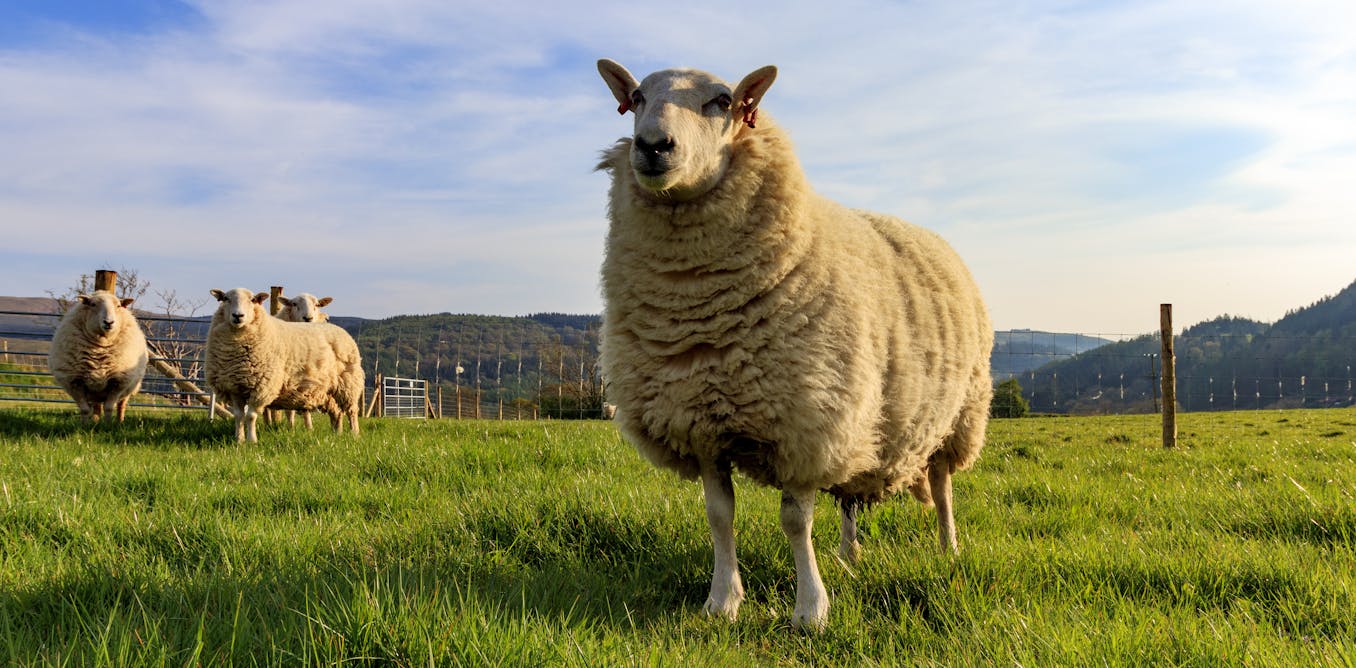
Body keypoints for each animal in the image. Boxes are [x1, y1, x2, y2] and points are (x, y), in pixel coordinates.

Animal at [46, 289, 148, 422]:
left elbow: (109, 408)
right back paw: (95, 420)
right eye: (93, 304)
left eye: (118, 306)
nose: (109, 322)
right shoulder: (75, 382)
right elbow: (84, 409)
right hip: (94, 390)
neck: (99, 349)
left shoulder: (118, 382)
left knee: (121, 405)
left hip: (130, 386)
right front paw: (84, 425)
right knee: (95, 406)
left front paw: (108, 425)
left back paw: (119, 422)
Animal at [203, 287, 363, 439]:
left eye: (253, 300)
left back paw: (354, 434)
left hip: (349, 383)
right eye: (225, 298)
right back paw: (338, 433)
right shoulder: (234, 387)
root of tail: (341, 330)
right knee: (336, 411)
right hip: (328, 389)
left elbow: (251, 416)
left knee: (352, 411)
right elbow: (239, 416)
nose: (238, 316)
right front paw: (239, 440)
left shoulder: (262, 387)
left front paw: (252, 440)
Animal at [599, 59, 992, 628]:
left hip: (955, 415)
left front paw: (810, 609)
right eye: (636, 98)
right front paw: (722, 602)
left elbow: (794, 522)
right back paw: (849, 555)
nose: (653, 146)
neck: (700, 308)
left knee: (941, 487)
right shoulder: (702, 425)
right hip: (861, 416)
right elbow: (719, 516)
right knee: (850, 494)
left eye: (723, 101)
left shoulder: (804, 424)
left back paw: (948, 548)